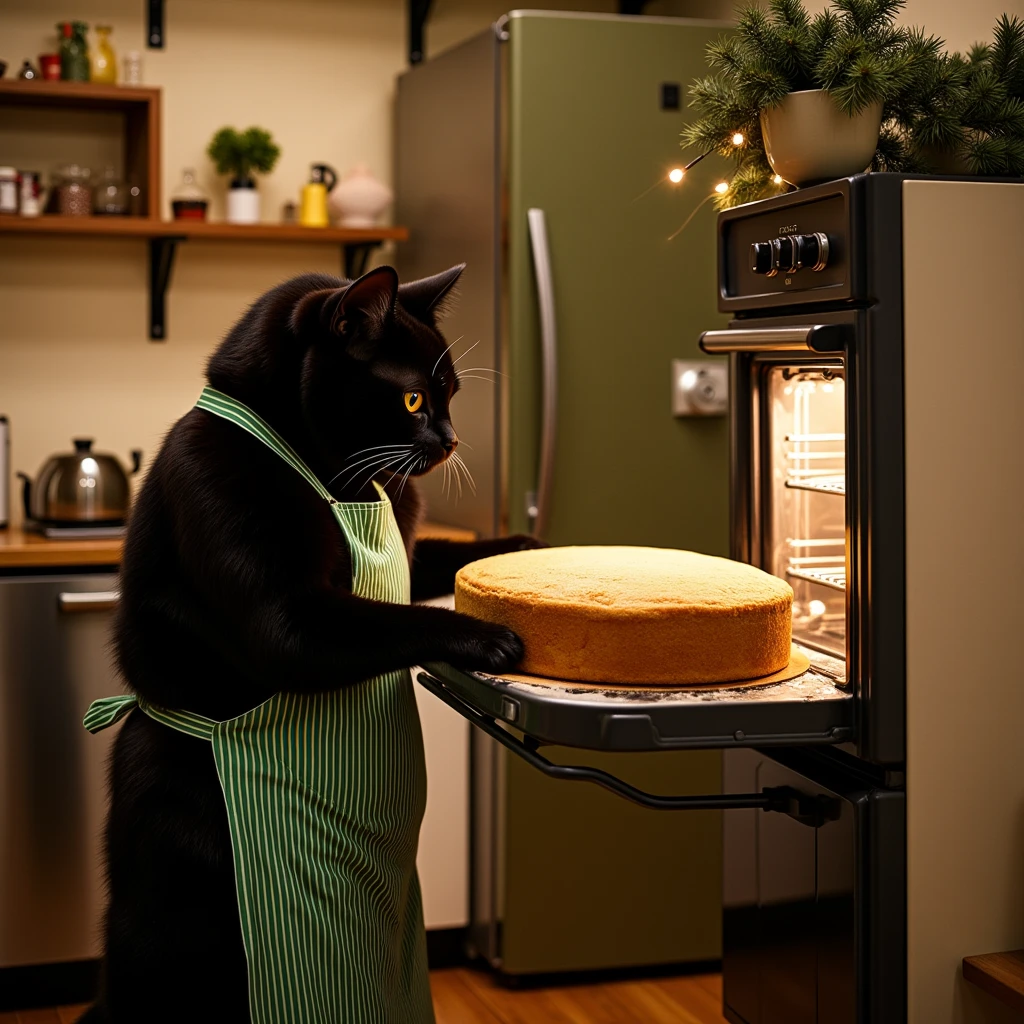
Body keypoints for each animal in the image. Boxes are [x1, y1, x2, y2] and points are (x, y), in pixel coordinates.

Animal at [81, 266, 536, 1024]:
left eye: (451, 395)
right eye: (414, 398)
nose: (450, 440)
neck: (340, 480)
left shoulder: (412, 548)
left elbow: (438, 567)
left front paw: (530, 544)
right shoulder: (287, 617)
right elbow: (395, 621)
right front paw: (491, 636)